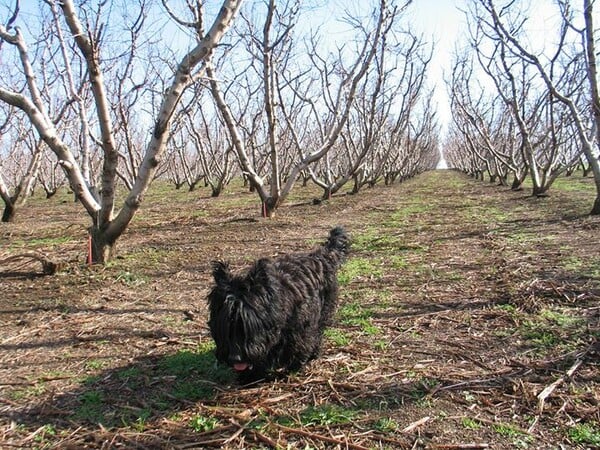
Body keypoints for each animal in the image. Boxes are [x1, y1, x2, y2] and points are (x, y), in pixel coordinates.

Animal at [209, 227, 352, 382]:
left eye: (248, 325)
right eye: (225, 326)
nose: (236, 358)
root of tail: (322, 256)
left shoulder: (302, 327)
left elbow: (300, 346)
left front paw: (296, 365)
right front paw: (249, 375)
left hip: (324, 309)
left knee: (318, 331)